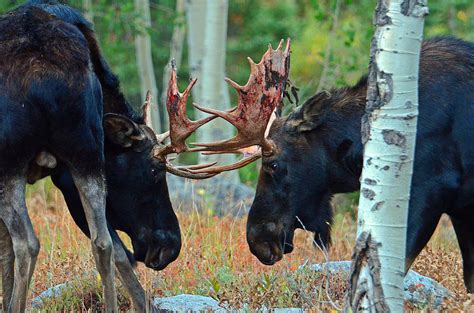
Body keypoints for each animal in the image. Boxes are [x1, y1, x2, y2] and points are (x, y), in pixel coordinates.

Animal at [0, 1, 216, 310]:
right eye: (155, 171)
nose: (170, 246)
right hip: (85, 151)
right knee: (103, 243)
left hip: (14, 158)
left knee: (27, 243)